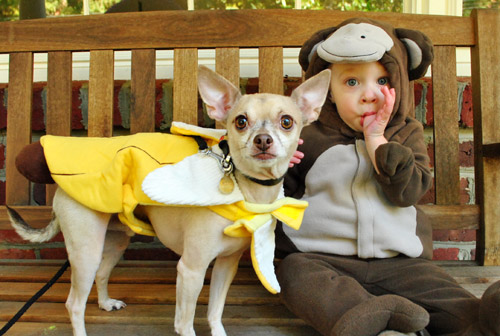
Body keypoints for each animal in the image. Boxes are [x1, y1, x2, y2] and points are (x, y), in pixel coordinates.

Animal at [6, 66, 332, 336]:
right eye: (240, 122)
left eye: (287, 122)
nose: (263, 139)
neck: (247, 190)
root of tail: (60, 190)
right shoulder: (191, 270)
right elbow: (185, 323)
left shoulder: (225, 266)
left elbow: (214, 312)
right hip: (86, 250)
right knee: (74, 303)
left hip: (113, 243)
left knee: (101, 274)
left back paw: (106, 302)